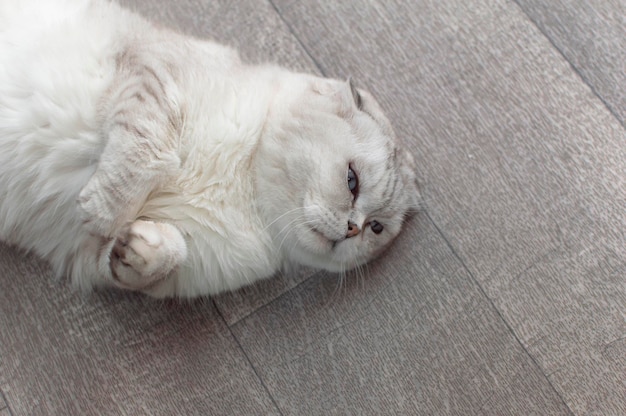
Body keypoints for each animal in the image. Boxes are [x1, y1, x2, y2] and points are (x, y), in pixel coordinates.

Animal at [1, 0, 420, 300]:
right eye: (352, 181)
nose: (352, 229)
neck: (243, 192)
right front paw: (103, 210)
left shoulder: (90, 257)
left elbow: (159, 255)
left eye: (376, 228)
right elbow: (147, 156)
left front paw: (140, 246)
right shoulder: (155, 76)